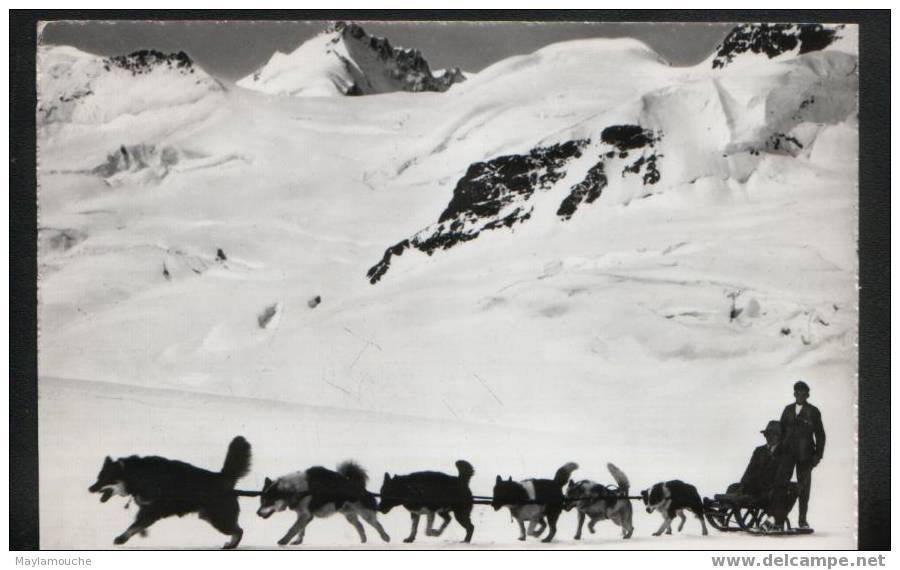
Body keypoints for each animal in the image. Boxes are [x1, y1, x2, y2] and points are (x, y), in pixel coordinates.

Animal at [87, 434, 251, 544]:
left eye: (105, 479)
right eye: (98, 477)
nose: (90, 489)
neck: (138, 476)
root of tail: (223, 478)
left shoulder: (152, 510)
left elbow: (134, 525)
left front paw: (122, 538)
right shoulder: (146, 508)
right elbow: (137, 522)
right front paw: (141, 533)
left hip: (220, 519)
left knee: (239, 531)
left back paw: (230, 546)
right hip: (210, 517)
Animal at [256, 460, 390, 544]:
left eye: (268, 501)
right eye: (262, 501)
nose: (257, 513)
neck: (296, 489)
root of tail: (360, 488)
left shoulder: (305, 514)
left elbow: (293, 529)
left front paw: (283, 541)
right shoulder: (304, 515)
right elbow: (300, 530)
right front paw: (298, 541)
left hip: (366, 514)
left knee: (378, 525)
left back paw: (385, 537)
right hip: (349, 515)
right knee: (360, 526)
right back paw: (363, 542)